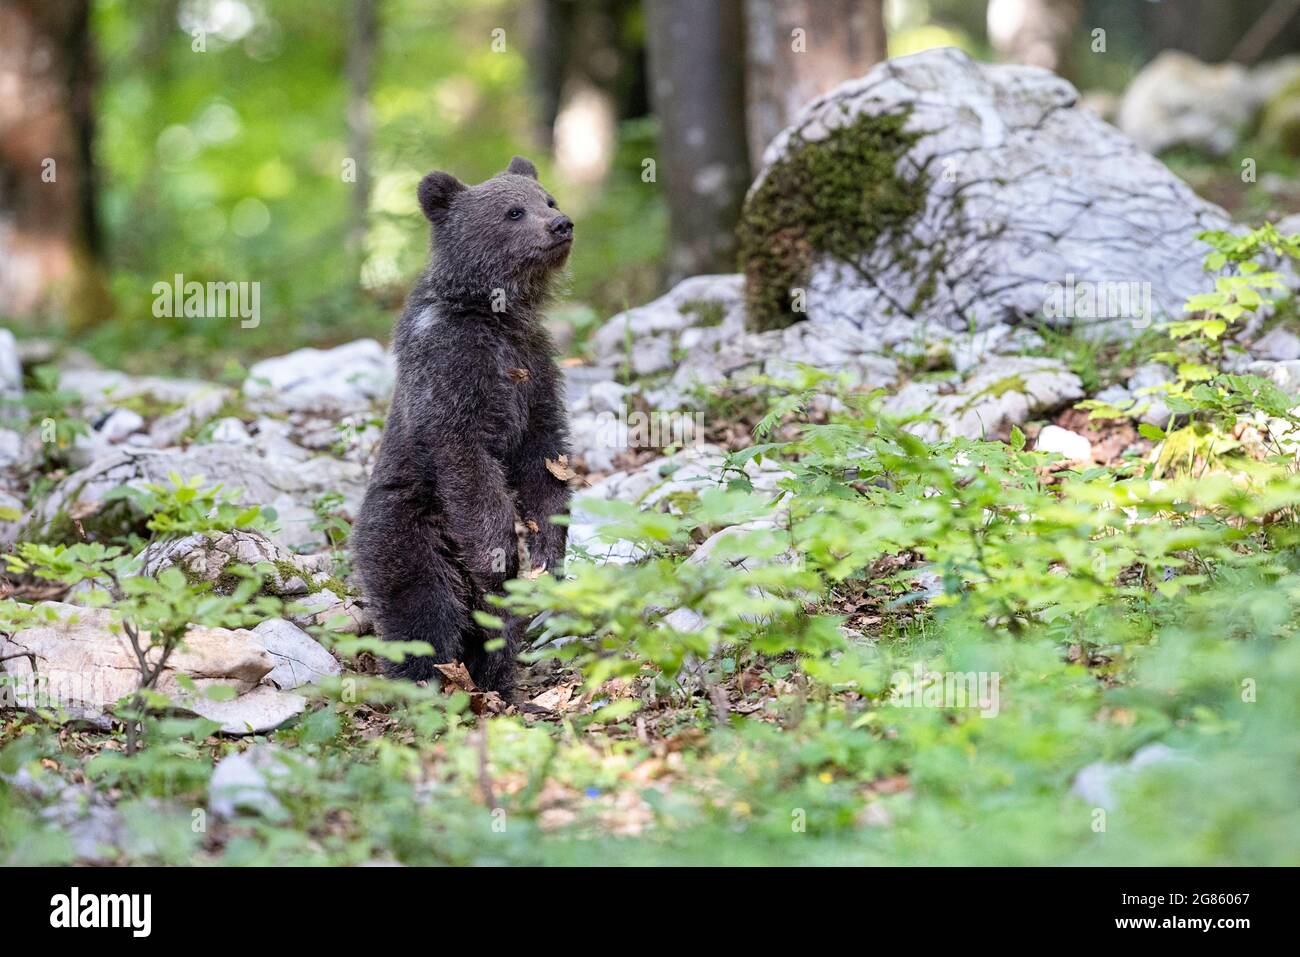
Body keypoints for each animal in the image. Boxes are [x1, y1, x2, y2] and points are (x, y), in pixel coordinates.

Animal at [350, 155, 574, 695]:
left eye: (548, 199)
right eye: (514, 211)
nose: (561, 224)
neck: (493, 312)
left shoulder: (534, 370)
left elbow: (545, 458)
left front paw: (547, 553)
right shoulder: (451, 373)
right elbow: (467, 466)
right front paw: (500, 552)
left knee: (494, 629)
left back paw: (501, 684)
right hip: (407, 530)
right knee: (423, 615)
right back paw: (426, 682)